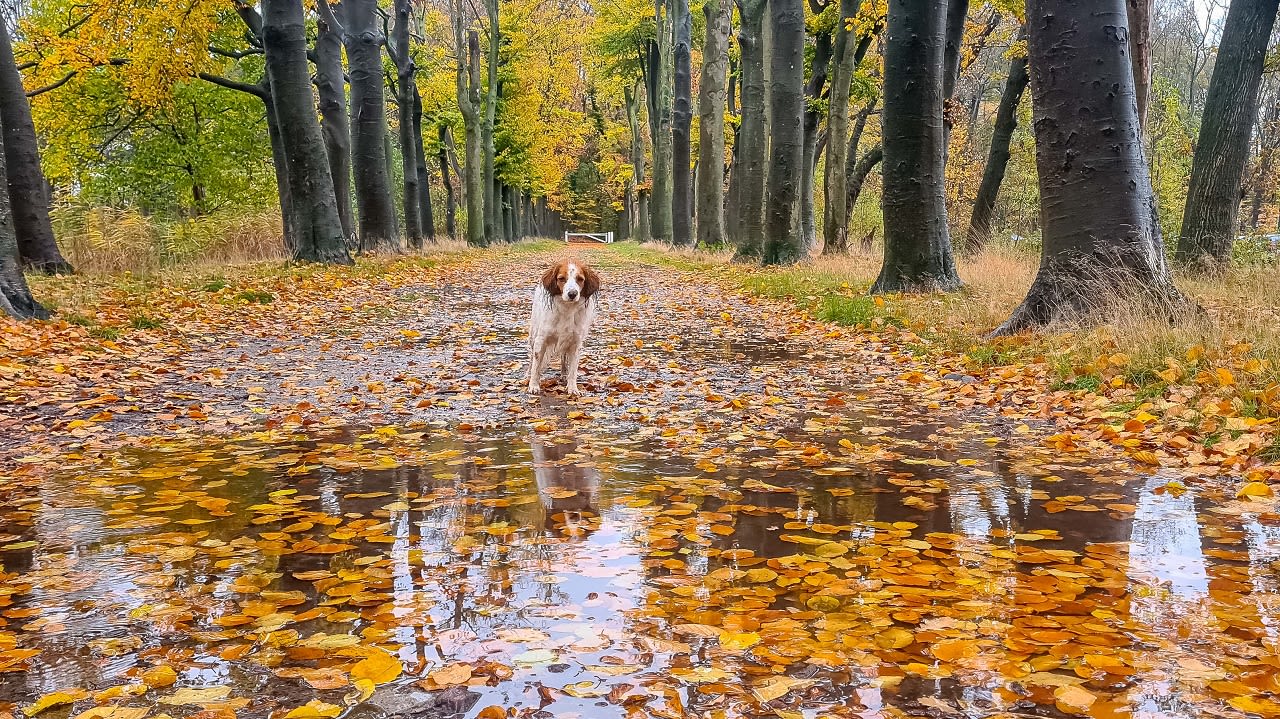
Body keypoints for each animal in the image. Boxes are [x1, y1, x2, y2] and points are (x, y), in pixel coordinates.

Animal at [524, 257, 599, 394]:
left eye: (580, 279)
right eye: (561, 278)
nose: (572, 294)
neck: (567, 309)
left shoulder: (575, 343)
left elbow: (573, 370)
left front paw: (572, 388)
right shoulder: (541, 340)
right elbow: (536, 366)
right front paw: (533, 385)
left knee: (564, 358)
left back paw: (564, 375)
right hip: (533, 335)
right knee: (531, 359)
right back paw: (527, 375)